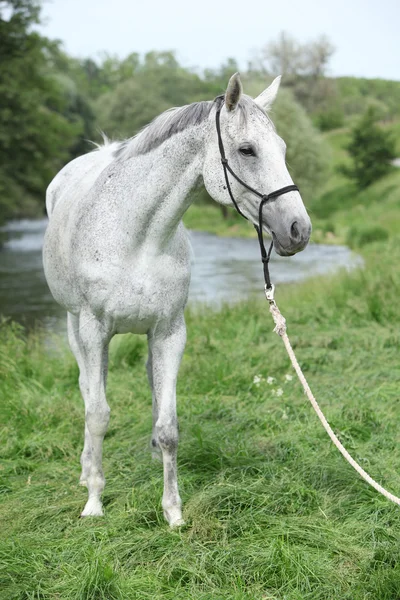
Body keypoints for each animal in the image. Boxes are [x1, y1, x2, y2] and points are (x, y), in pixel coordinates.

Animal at [43, 74, 312, 524]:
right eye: (247, 150)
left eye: (283, 148)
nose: (299, 229)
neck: (137, 237)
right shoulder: (94, 329)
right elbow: (97, 414)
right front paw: (95, 502)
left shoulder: (170, 332)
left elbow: (169, 427)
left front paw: (173, 511)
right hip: (74, 326)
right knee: (88, 389)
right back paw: (85, 472)